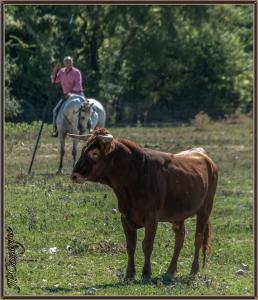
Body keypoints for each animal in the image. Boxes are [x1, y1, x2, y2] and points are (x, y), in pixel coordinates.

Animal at [68, 128, 218, 282]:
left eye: (94, 153)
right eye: (83, 149)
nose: (74, 175)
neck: (135, 174)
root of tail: (204, 156)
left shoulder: (151, 218)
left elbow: (147, 245)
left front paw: (146, 273)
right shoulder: (125, 217)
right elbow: (130, 245)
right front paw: (129, 274)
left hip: (205, 209)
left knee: (198, 238)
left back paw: (194, 270)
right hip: (179, 214)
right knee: (179, 239)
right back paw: (170, 271)